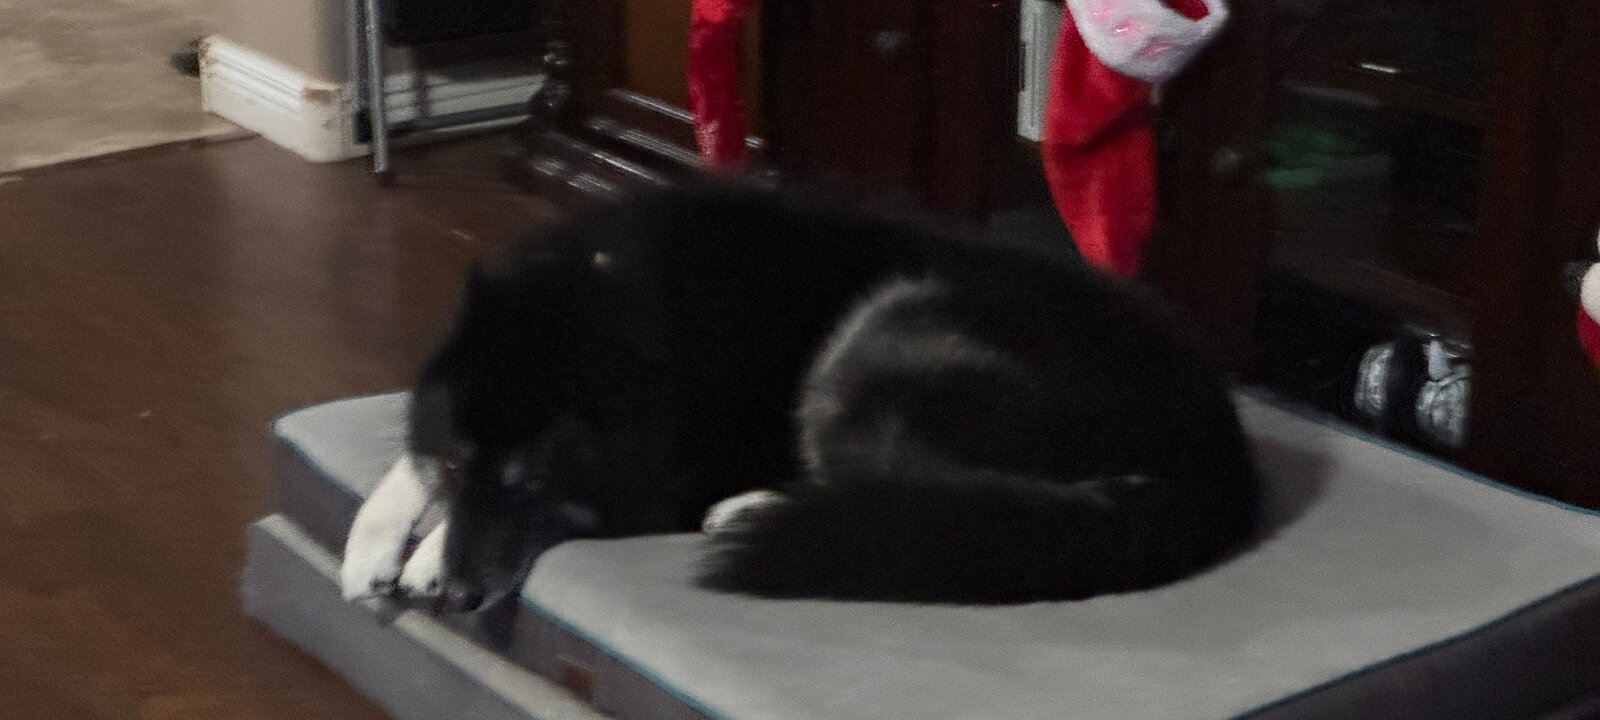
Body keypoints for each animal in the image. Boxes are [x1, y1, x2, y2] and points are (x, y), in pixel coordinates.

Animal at [339, 183, 1260, 610]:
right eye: (456, 466)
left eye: (532, 478)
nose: (457, 598)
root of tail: (1218, 460)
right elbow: (405, 464)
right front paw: (377, 543)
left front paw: (426, 557)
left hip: (884, 337)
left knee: (914, 498)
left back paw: (752, 511)